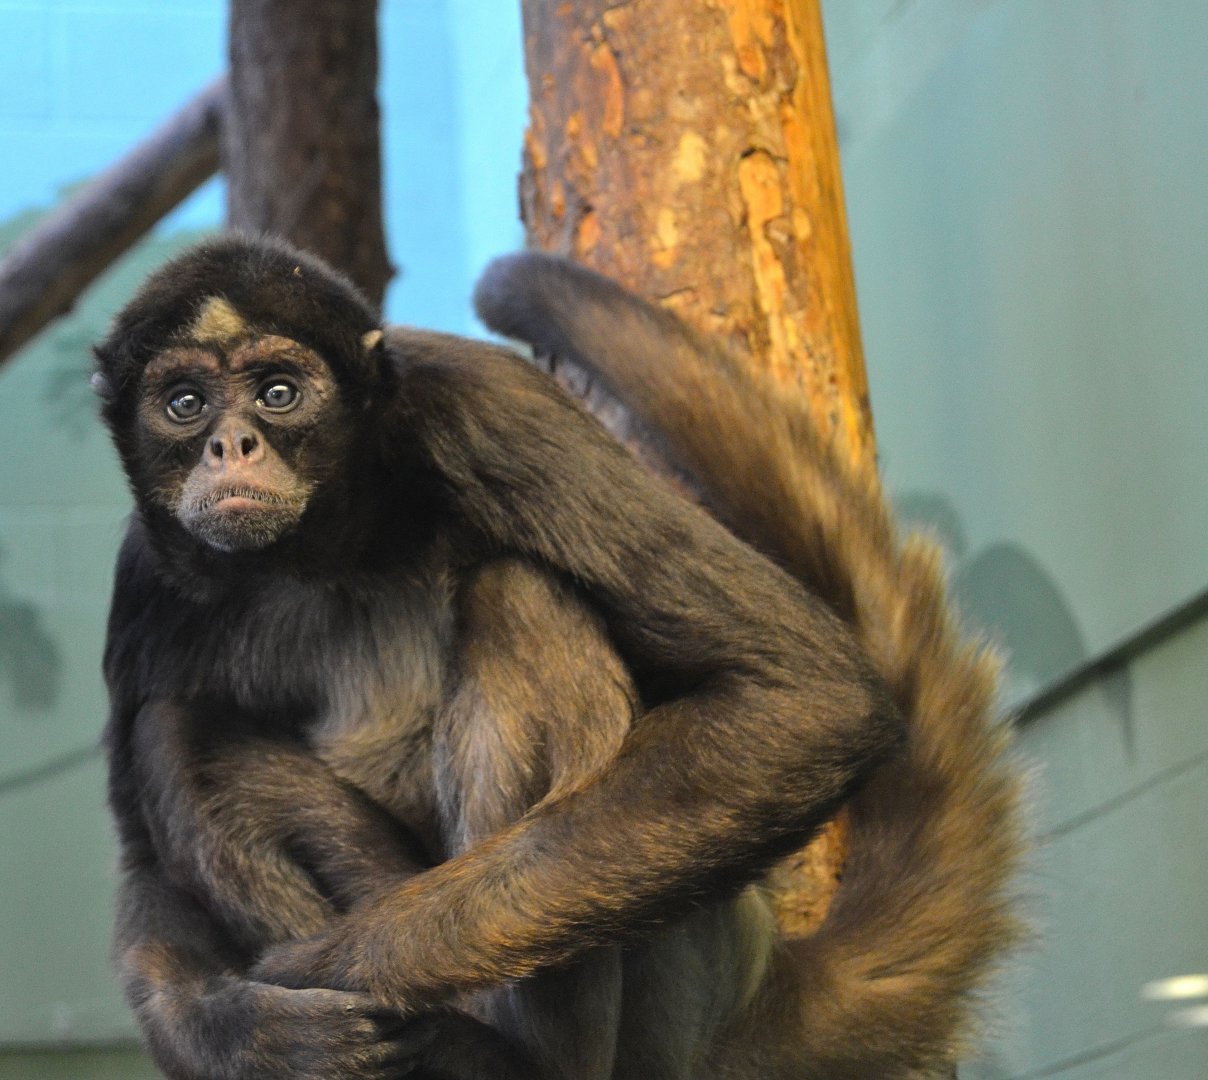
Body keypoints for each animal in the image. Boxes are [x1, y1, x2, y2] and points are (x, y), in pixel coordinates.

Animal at [94, 234, 1018, 1080]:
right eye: (184, 403)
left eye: (278, 394)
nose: (231, 446)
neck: (329, 554)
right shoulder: (148, 576)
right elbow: (143, 879)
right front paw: (254, 1035)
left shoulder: (487, 406)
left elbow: (813, 700)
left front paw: (328, 968)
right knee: (175, 732)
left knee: (520, 599)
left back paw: (508, 1059)